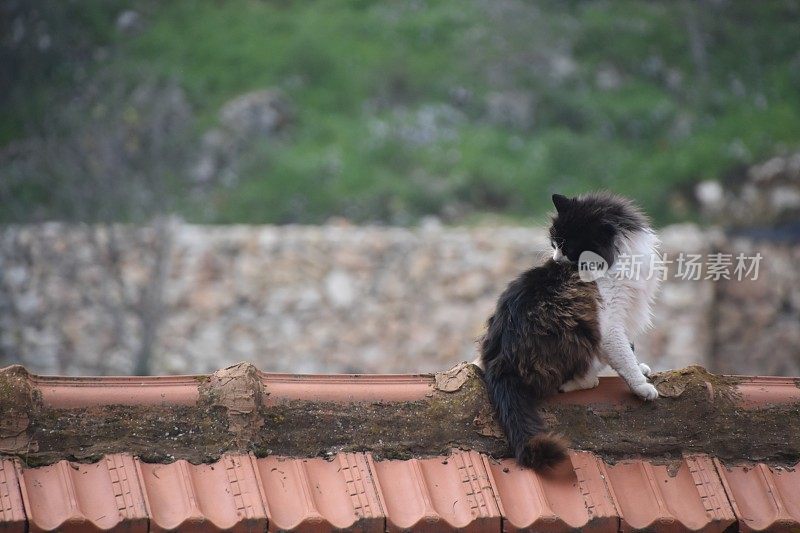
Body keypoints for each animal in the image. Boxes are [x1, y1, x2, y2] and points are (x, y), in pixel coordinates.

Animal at [478, 193, 660, 468]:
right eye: (555, 243)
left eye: (567, 246)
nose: (555, 260)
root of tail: (501, 362)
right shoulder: (609, 324)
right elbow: (624, 356)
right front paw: (641, 386)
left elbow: (629, 350)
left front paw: (640, 368)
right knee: (569, 380)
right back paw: (583, 381)